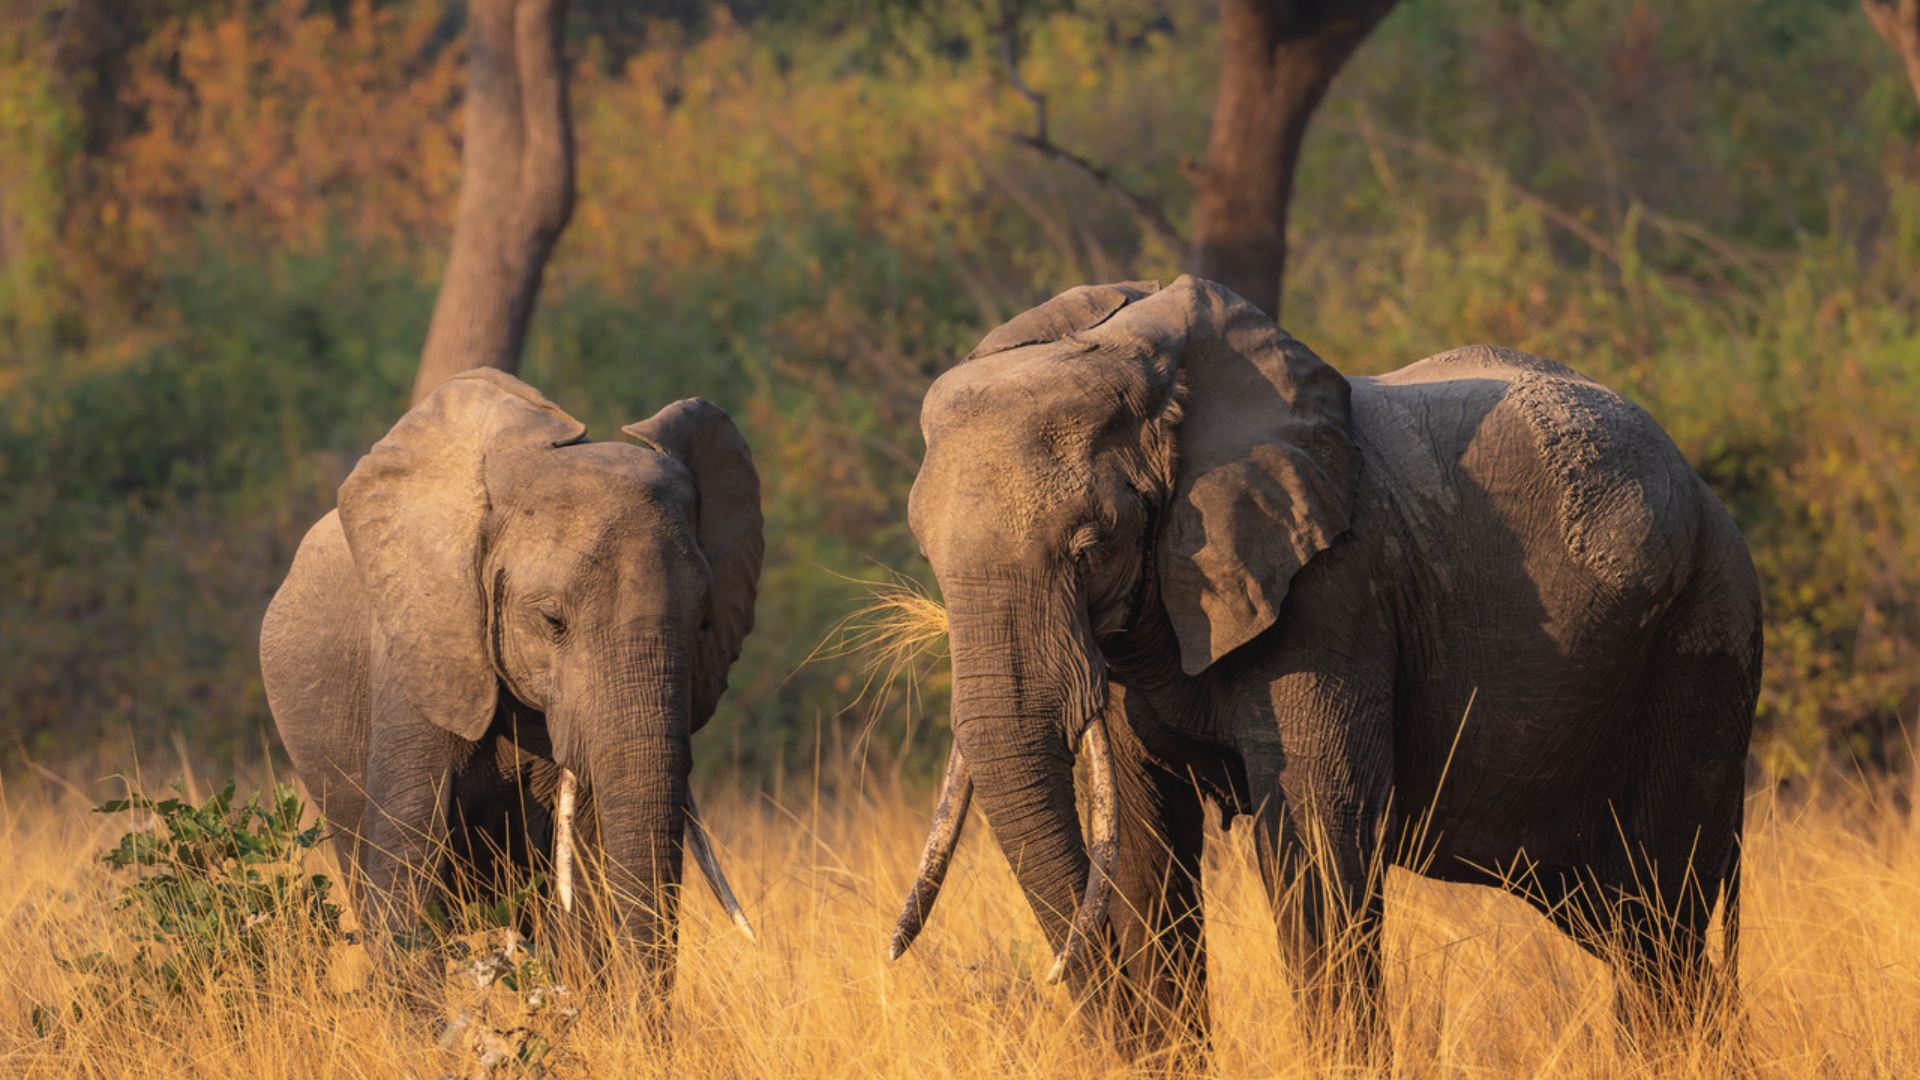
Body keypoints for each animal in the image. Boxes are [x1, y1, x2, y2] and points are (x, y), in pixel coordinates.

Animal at [883, 274, 1758, 1053]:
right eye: (927, 557)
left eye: (1094, 544)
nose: (1057, 978)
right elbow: (1140, 850)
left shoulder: (1336, 592)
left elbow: (1313, 832)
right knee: (1626, 921)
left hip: (1703, 641)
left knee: (1660, 912)